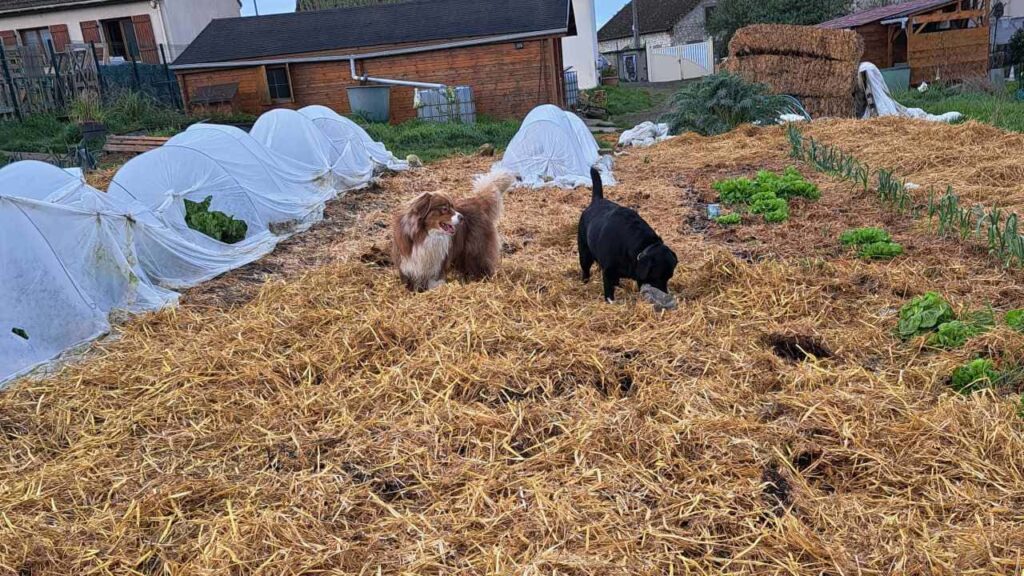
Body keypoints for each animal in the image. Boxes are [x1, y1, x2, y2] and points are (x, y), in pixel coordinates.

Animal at [581, 165, 675, 301]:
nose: (664, 294)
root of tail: (597, 200)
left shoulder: (639, 275)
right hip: (584, 253)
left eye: (669, 277)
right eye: (658, 277)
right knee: (585, 269)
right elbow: (609, 293)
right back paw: (585, 282)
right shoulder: (608, 272)